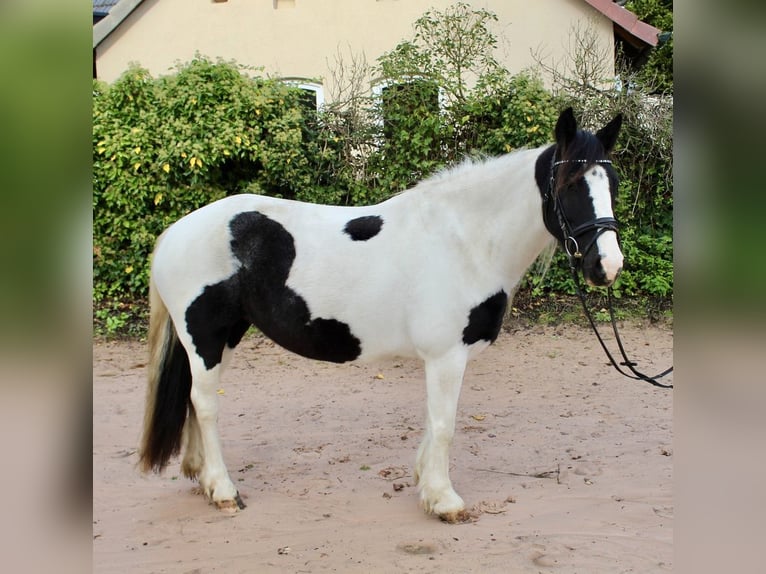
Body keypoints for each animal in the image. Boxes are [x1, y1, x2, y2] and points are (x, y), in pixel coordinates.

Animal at [141, 106, 628, 524]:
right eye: (569, 184)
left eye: (613, 184)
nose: (606, 265)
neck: (465, 241)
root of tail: (173, 233)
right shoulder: (446, 356)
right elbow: (445, 424)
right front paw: (444, 500)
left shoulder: (442, 358)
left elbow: (434, 423)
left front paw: (425, 483)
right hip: (204, 336)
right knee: (205, 405)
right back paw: (224, 490)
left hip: (220, 336)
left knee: (193, 400)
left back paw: (201, 476)